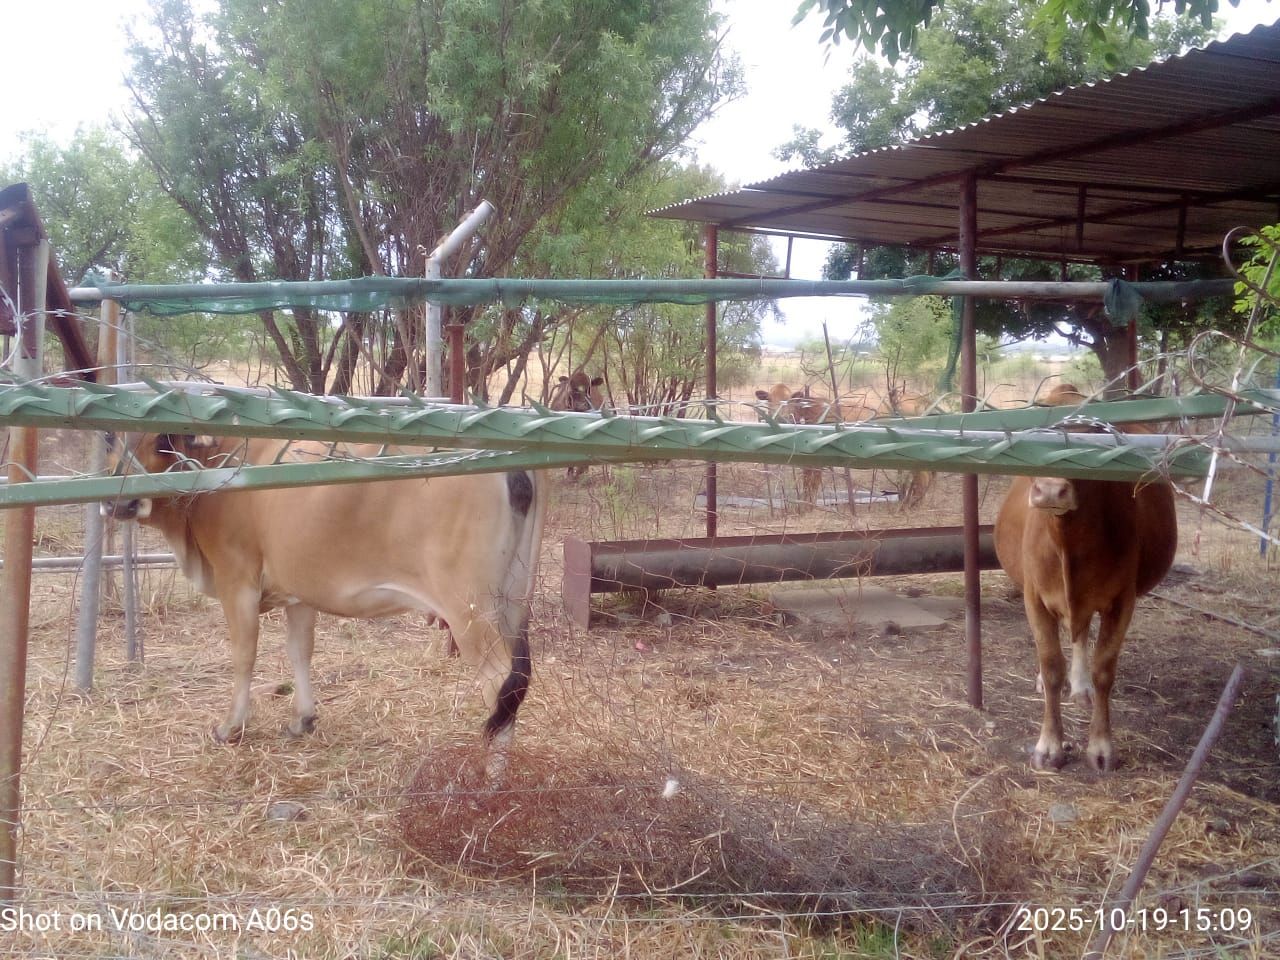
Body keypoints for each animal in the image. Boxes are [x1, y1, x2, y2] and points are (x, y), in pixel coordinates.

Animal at [103, 433, 546, 779]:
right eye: (109, 437)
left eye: (163, 439)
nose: (119, 503)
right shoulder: (299, 589)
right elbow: (299, 650)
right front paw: (303, 718)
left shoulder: (237, 578)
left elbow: (244, 655)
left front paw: (231, 726)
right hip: (512, 602)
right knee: (516, 682)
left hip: (470, 609)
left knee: (499, 682)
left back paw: (490, 781)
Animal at [994, 383, 1177, 772]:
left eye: (1088, 440)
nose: (1050, 491)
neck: (1068, 543)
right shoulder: (1034, 597)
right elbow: (1051, 667)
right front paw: (1049, 746)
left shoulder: (1122, 600)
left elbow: (1103, 669)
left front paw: (1101, 747)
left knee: (1080, 636)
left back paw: (1080, 687)